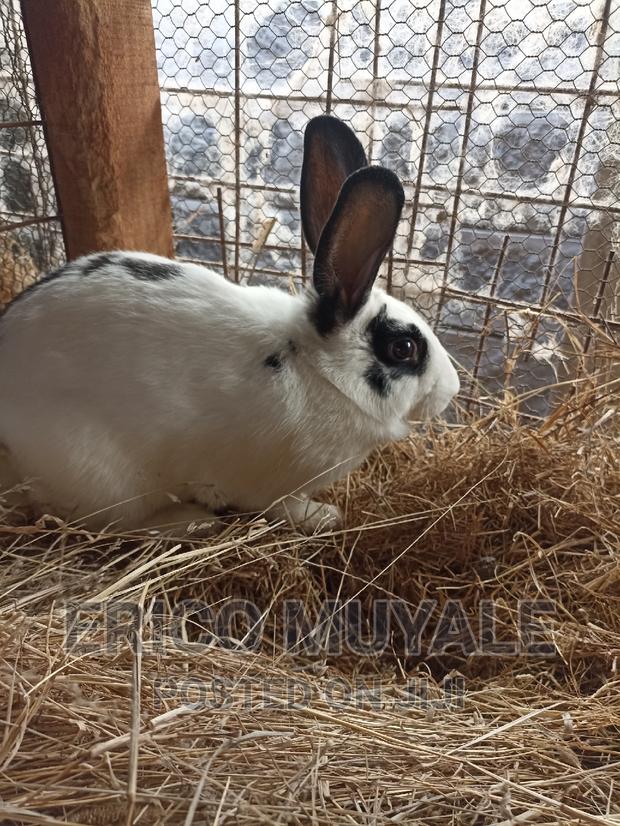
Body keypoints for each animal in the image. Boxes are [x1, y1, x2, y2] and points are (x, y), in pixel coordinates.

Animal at [0, 115, 459, 534]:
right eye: (403, 348)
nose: (452, 389)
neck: (314, 369)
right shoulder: (273, 486)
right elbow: (284, 507)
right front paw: (326, 516)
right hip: (100, 476)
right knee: (115, 523)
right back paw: (190, 521)